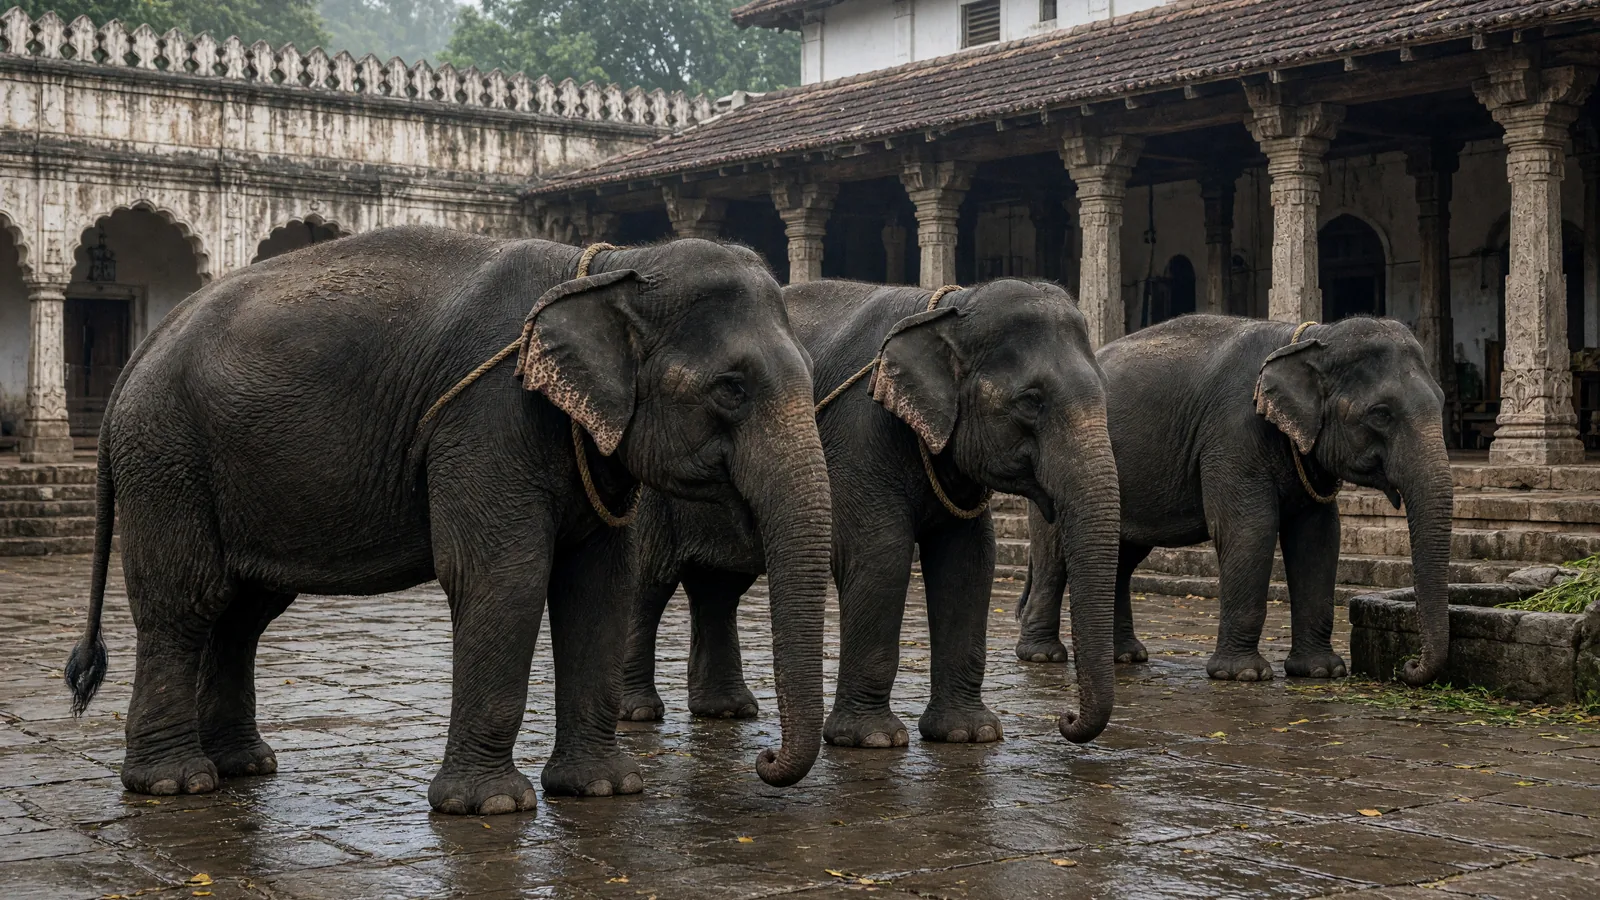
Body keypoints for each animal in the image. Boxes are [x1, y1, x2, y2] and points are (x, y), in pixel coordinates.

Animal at [61, 227, 832, 815]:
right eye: (730, 389)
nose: (764, 756)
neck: (607, 267)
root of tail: (140, 354)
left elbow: (599, 588)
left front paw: (605, 791)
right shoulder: (488, 416)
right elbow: (503, 577)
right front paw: (491, 806)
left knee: (244, 610)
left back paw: (244, 767)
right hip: (168, 458)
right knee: (184, 600)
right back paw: (176, 784)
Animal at [619, 278, 1121, 749]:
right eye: (1030, 402)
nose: (1065, 719)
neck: (945, 309)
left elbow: (969, 562)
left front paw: (969, 735)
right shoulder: (859, 433)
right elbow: (880, 555)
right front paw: (873, 740)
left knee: (719, 588)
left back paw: (727, 711)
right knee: (647, 582)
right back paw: (638, 712)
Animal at [1015, 315, 1451, 686]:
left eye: (1443, 400)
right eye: (1380, 414)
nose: (1407, 666)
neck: (1308, 338)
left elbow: (1319, 536)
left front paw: (1321, 672)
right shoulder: (1233, 433)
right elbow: (1249, 529)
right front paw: (1242, 676)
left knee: (1123, 556)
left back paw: (1126, 657)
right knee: (1055, 555)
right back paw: (1042, 657)